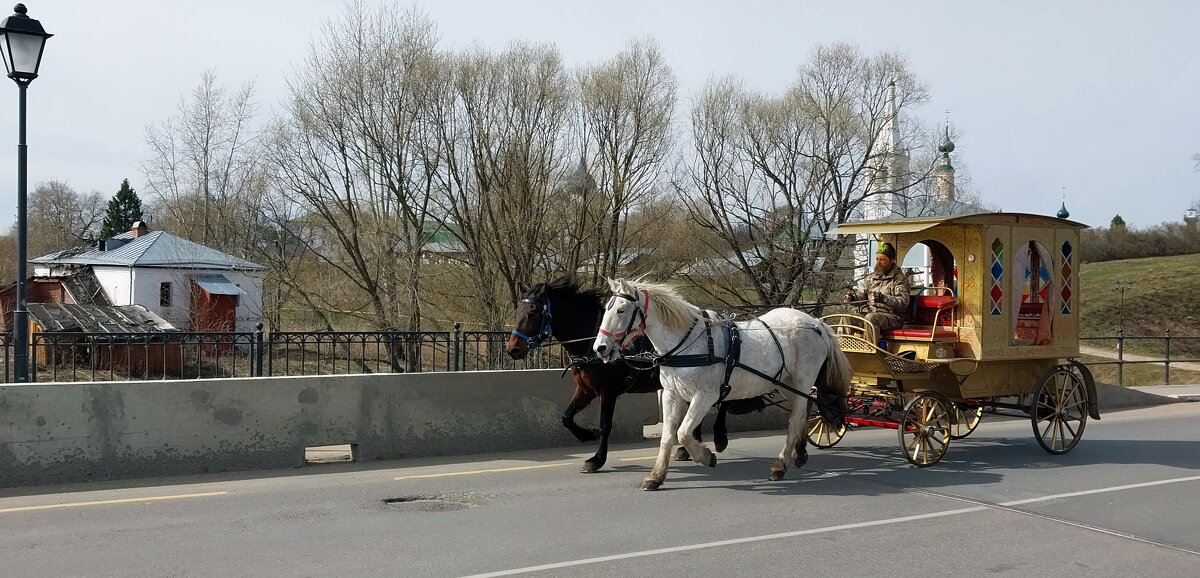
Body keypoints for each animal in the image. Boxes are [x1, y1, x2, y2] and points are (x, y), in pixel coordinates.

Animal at [506, 277, 729, 474]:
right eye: (518, 311)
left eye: (533, 312)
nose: (512, 349)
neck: (590, 342)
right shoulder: (586, 389)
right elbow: (566, 418)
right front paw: (588, 434)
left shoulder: (608, 391)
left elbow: (605, 425)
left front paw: (596, 459)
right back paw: (689, 448)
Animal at [590, 278, 854, 489]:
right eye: (607, 309)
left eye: (621, 310)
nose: (600, 348)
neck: (688, 344)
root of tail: (816, 323)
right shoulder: (671, 394)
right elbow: (668, 437)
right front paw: (656, 476)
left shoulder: (704, 396)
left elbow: (684, 433)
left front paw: (706, 456)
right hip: (785, 384)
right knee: (806, 409)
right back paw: (799, 453)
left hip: (800, 381)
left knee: (796, 419)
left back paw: (780, 465)